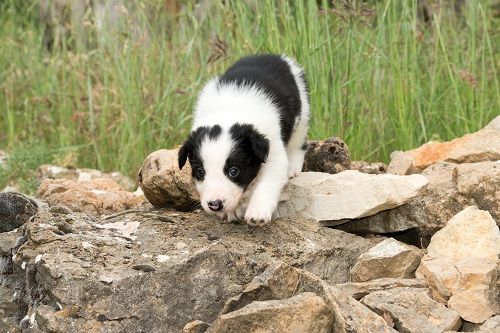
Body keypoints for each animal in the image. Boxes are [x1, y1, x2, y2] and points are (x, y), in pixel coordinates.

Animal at [176, 54, 308, 226]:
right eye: (200, 172)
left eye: (234, 171)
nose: (215, 205)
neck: (228, 111)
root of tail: (274, 56)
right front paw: (232, 211)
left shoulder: (274, 152)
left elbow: (267, 183)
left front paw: (258, 212)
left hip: (302, 112)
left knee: (299, 142)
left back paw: (293, 167)